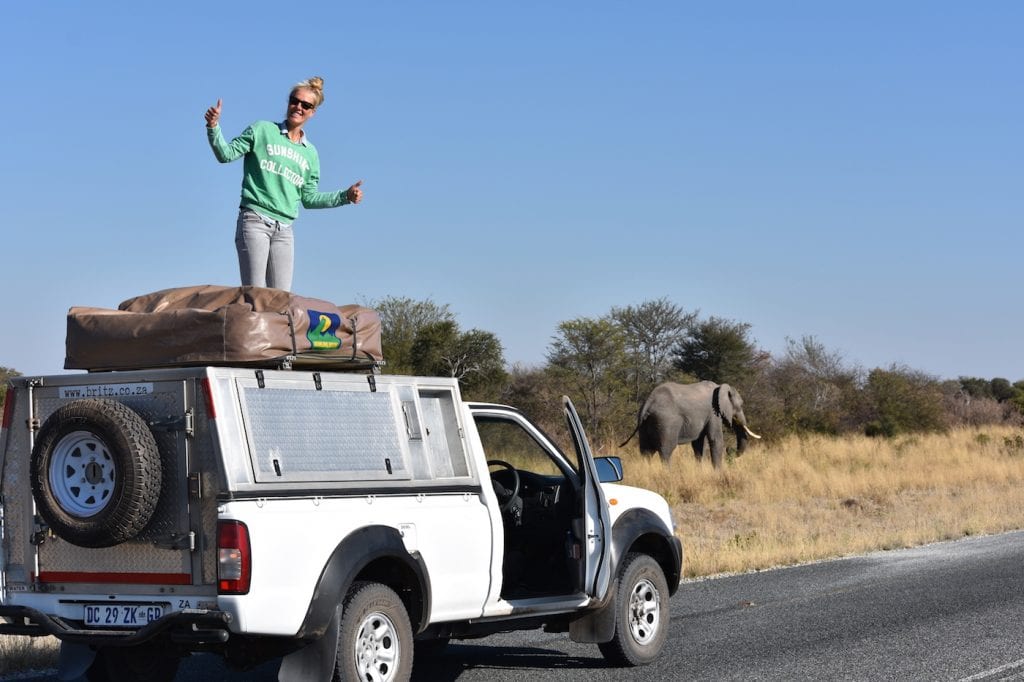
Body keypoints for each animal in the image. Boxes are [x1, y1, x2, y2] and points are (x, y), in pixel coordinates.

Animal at [614, 376, 761, 466]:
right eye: (741, 405)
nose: (729, 450)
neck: (721, 387)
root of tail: (648, 404)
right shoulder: (713, 413)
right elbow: (715, 439)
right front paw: (719, 474)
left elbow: (698, 444)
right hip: (666, 422)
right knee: (666, 451)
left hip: (645, 425)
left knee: (646, 452)